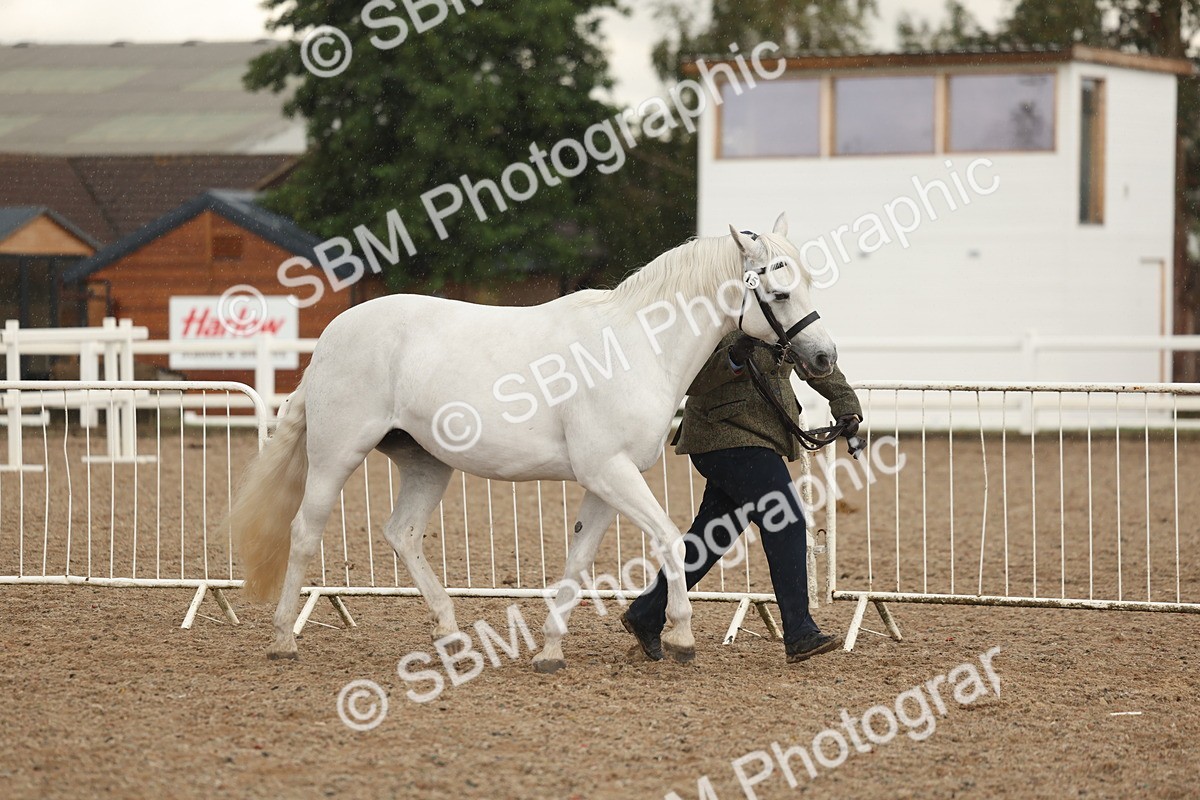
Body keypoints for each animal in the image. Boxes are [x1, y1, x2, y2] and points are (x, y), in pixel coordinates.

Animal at [230, 214, 838, 671]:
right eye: (780, 291)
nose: (824, 357)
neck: (636, 346)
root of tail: (329, 339)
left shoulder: (604, 482)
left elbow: (577, 562)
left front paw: (549, 650)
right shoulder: (611, 472)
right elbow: (668, 538)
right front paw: (682, 638)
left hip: (427, 463)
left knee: (402, 533)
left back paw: (451, 635)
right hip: (335, 456)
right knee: (304, 533)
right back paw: (283, 640)